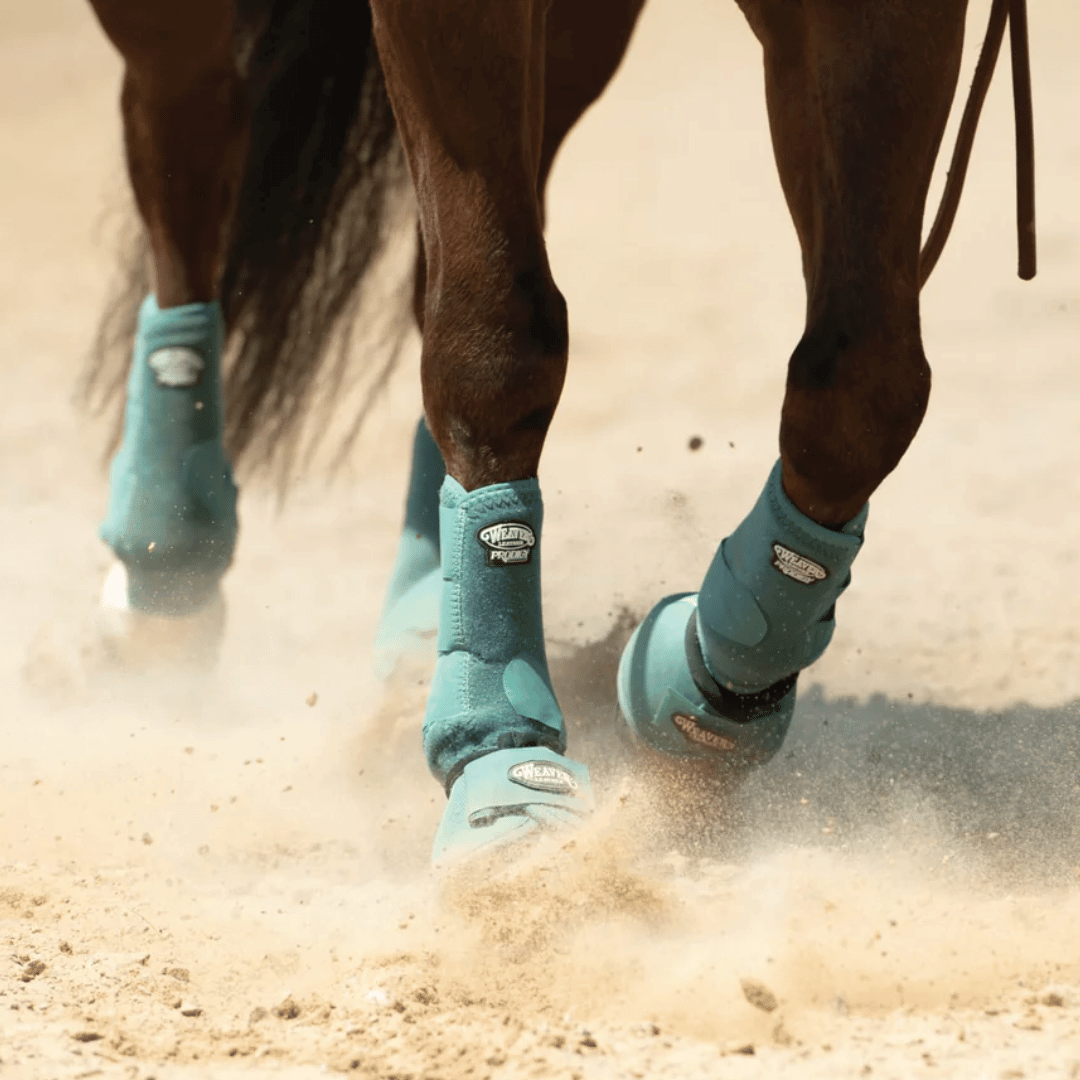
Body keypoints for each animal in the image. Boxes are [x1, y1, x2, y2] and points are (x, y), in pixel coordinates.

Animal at [84, 0, 1034, 867]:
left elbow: (863, 386)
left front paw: (710, 688)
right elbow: (497, 343)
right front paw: (507, 770)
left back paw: (420, 616)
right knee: (188, 122)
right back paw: (166, 561)